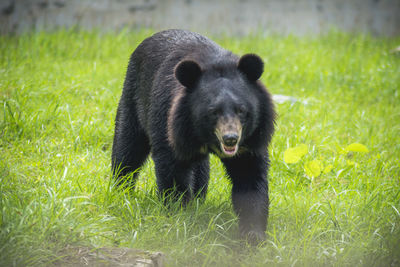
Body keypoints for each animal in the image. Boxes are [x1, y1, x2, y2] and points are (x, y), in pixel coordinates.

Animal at [112, 29, 276, 245]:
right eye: (213, 112)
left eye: (242, 110)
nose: (230, 139)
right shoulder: (168, 122)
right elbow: (173, 173)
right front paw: (179, 219)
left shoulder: (251, 142)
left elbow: (250, 179)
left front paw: (252, 236)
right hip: (134, 97)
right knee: (128, 148)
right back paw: (121, 191)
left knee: (200, 170)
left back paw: (199, 200)